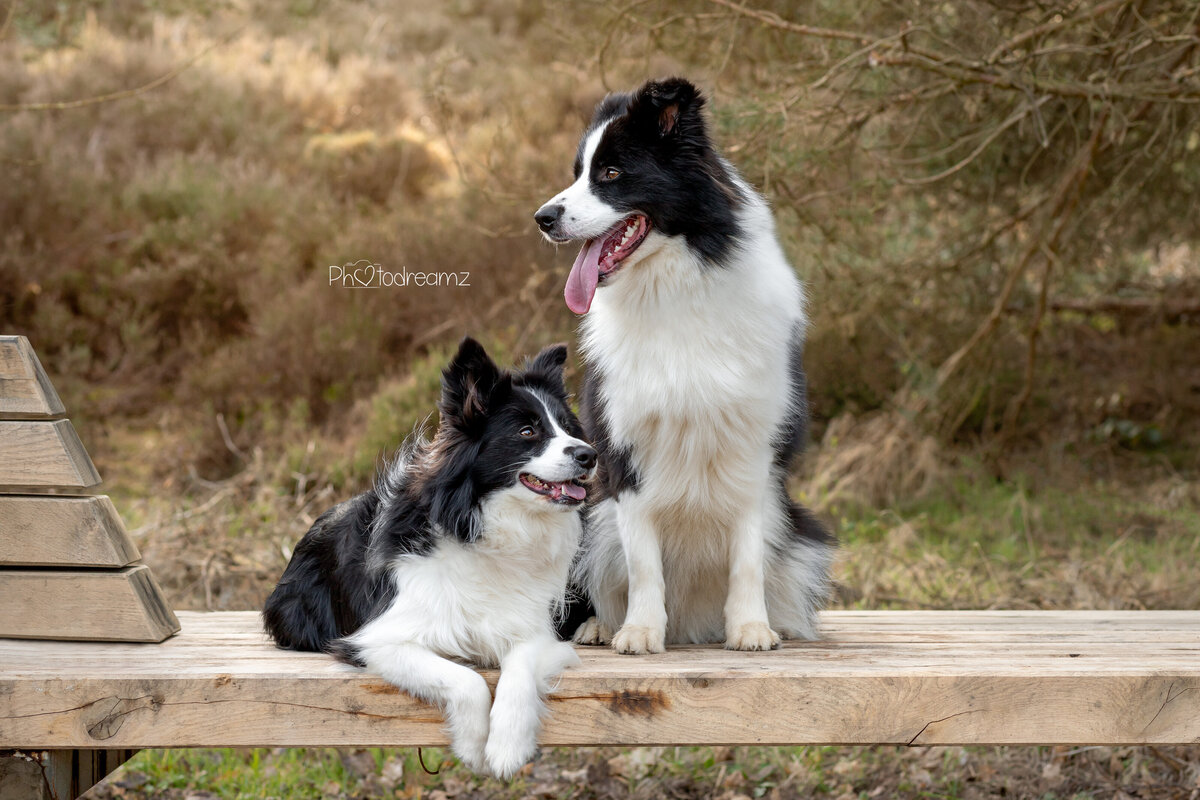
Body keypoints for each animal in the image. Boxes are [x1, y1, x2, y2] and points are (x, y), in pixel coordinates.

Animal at [266, 338, 595, 777]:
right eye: (528, 431)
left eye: (568, 430)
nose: (590, 455)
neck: (487, 529)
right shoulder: (377, 640)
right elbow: (467, 680)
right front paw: (473, 746)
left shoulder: (535, 631)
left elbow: (519, 669)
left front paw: (507, 745)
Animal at [537, 77, 835, 657]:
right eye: (578, 172)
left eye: (611, 173)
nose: (542, 218)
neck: (674, 289)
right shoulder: (625, 457)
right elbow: (644, 564)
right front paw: (639, 631)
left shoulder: (754, 450)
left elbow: (748, 557)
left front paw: (750, 628)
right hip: (588, 510)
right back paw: (600, 626)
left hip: (798, 532)